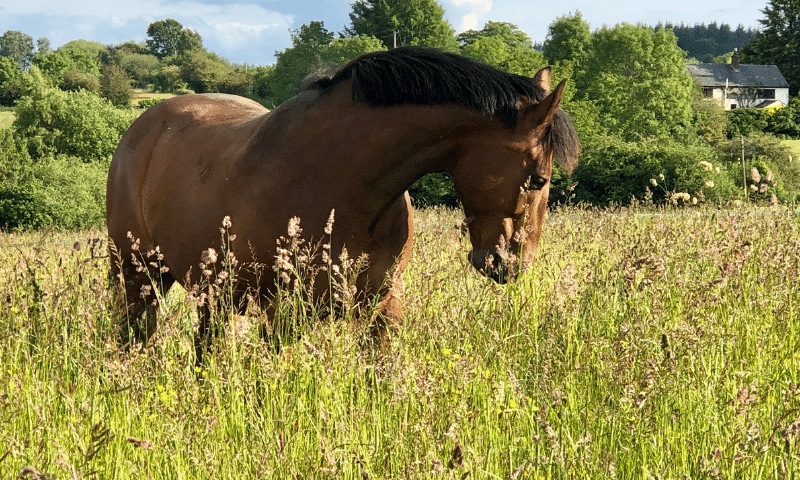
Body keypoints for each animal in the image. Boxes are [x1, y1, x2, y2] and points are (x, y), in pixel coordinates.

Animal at [108, 47, 580, 350]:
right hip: (139, 275)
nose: (511, 265)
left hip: (215, 294)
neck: (344, 185)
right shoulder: (283, 312)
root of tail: (142, 127)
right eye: (538, 178)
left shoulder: (383, 306)